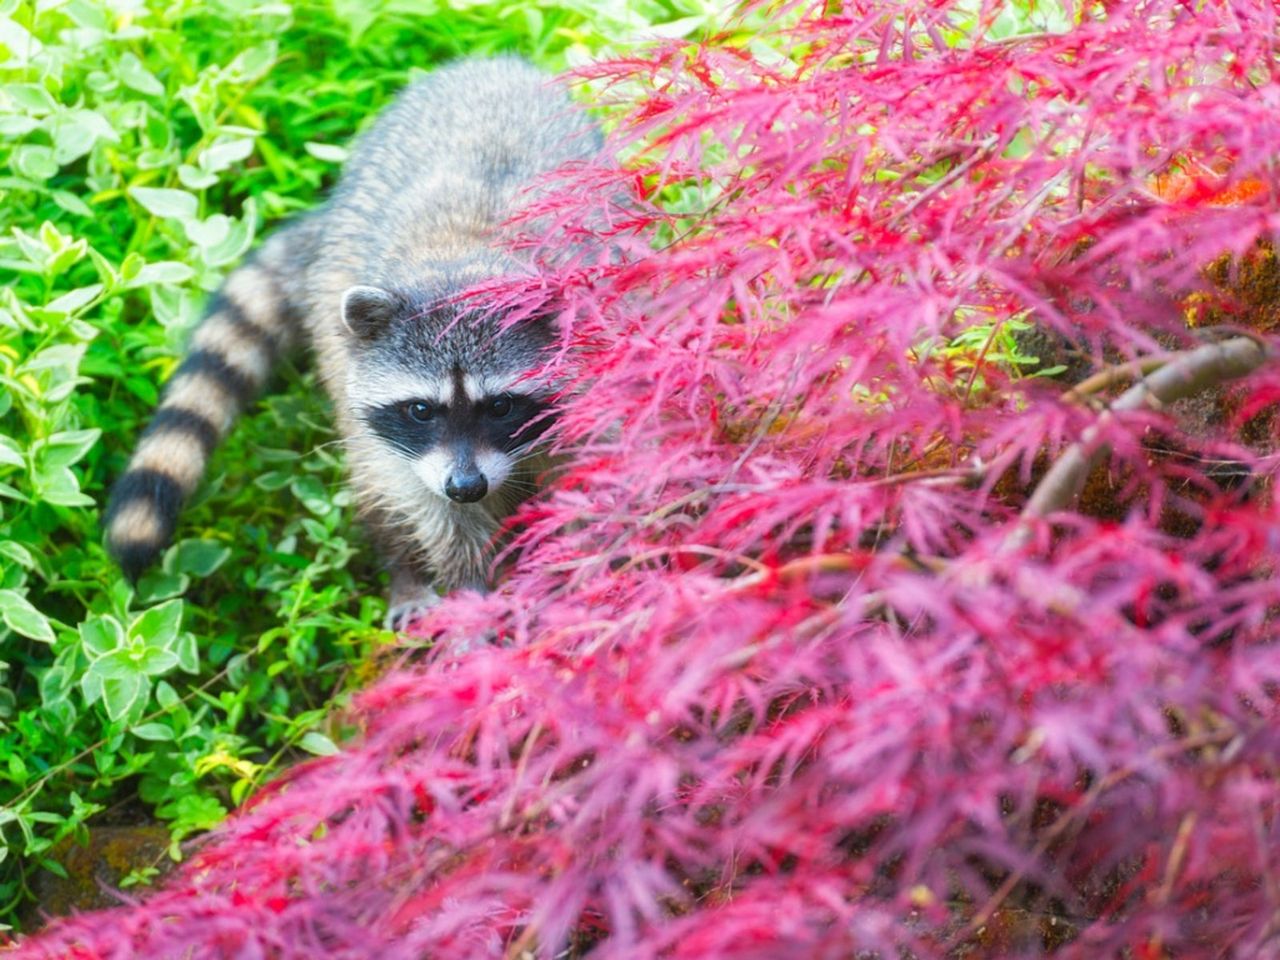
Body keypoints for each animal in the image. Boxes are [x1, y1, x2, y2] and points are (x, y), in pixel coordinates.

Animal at [104, 60, 599, 632]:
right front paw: (470, 596)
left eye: (500, 405)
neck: (460, 262)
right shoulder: (411, 445)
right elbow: (435, 514)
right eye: (421, 409)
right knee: (379, 481)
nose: (466, 485)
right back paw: (403, 570)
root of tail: (486, 64)